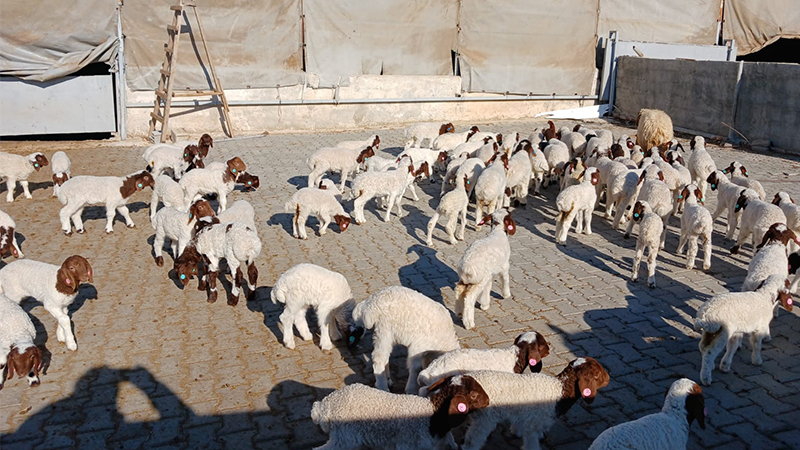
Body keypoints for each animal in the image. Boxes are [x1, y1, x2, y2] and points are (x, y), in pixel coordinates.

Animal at [310, 372, 488, 450]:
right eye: (473, 395)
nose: (488, 401)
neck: (433, 416)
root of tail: (324, 407)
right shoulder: (408, 445)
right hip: (344, 437)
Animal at [460, 356, 608, 450]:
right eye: (597, 374)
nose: (608, 379)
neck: (559, 391)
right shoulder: (532, 426)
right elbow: (532, 445)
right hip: (485, 419)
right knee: (471, 441)